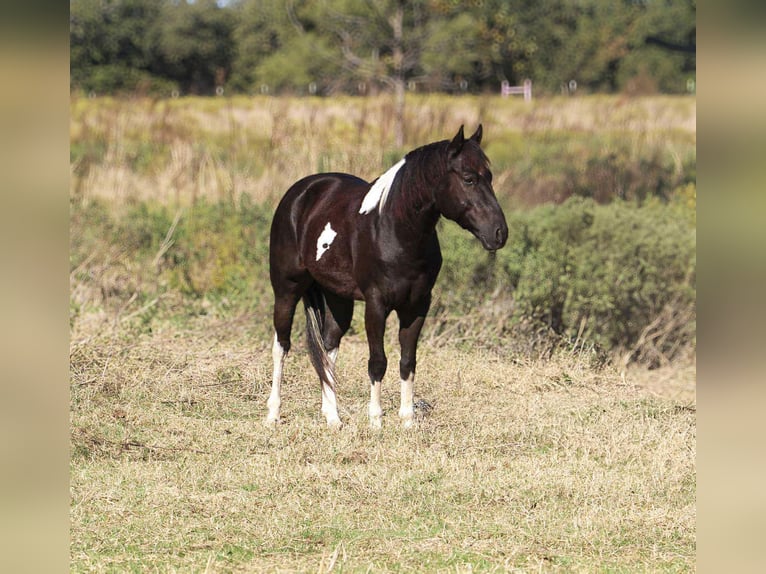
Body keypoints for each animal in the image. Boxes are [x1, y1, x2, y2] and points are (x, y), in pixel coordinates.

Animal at [266, 125, 508, 428]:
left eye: (489, 176)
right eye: (468, 178)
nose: (499, 233)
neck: (395, 231)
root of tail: (300, 192)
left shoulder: (417, 306)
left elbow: (407, 361)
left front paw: (408, 421)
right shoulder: (376, 305)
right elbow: (378, 361)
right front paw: (376, 422)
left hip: (337, 297)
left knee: (328, 347)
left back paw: (333, 418)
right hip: (286, 289)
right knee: (281, 345)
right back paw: (273, 414)